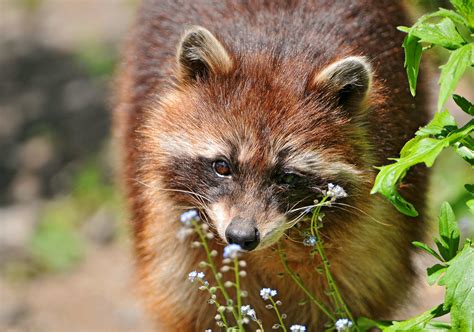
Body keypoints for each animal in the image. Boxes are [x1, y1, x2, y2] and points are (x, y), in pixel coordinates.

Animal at [115, 0, 430, 330]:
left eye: (287, 177)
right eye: (222, 167)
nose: (241, 237)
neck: (274, 52)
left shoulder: (369, 247)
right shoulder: (171, 240)